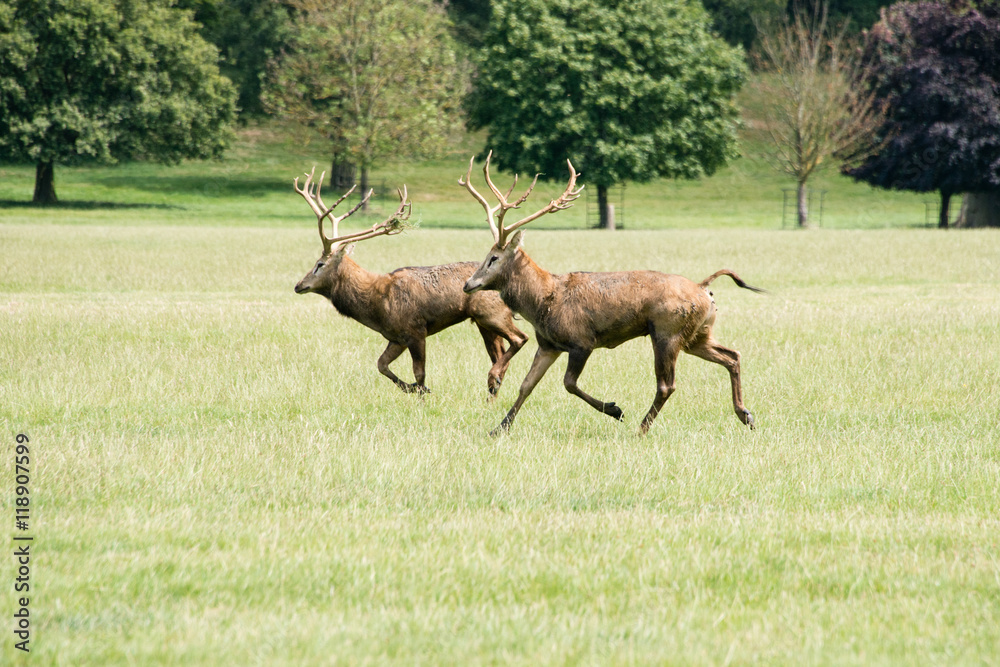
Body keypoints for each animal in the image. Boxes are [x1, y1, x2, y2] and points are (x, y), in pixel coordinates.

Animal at [292, 167, 527, 397]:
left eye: (320, 264)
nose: (298, 285)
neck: (376, 305)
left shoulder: (415, 329)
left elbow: (419, 373)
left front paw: (422, 392)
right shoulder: (396, 337)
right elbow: (381, 364)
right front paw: (410, 388)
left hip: (491, 313)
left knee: (519, 339)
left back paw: (493, 380)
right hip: (482, 321)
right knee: (498, 352)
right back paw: (492, 389)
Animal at [459, 152, 764, 435]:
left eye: (494, 258)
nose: (468, 285)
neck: (543, 303)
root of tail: (704, 289)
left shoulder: (581, 340)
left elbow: (568, 383)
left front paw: (615, 409)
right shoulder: (548, 344)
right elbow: (526, 385)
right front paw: (499, 427)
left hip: (667, 331)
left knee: (667, 385)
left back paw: (641, 428)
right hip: (698, 334)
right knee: (732, 355)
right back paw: (745, 415)